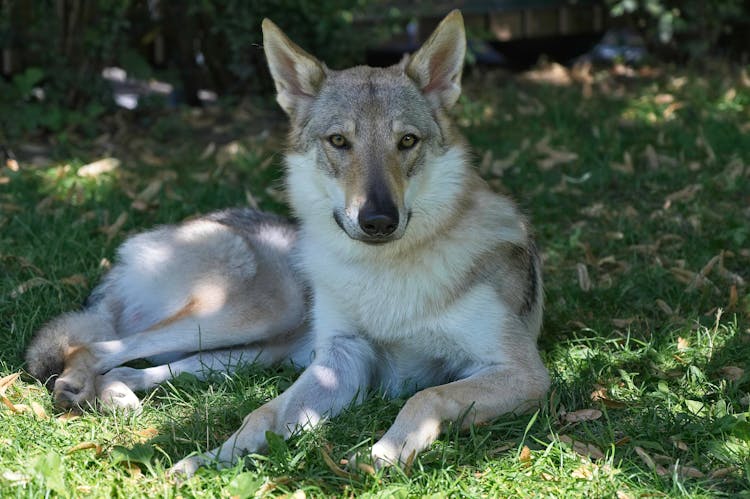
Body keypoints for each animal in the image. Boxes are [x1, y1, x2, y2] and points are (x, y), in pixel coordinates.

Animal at [26, 10, 548, 476]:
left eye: (406, 142)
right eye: (338, 141)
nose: (379, 220)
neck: (381, 275)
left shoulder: (524, 373)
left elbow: (425, 397)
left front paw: (380, 456)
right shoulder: (342, 360)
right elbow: (263, 412)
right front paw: (205, 462)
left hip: (258, 348)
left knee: (135, 367)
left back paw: (112, 395)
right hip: (262, 314)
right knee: (97, 347)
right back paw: (79, 385)